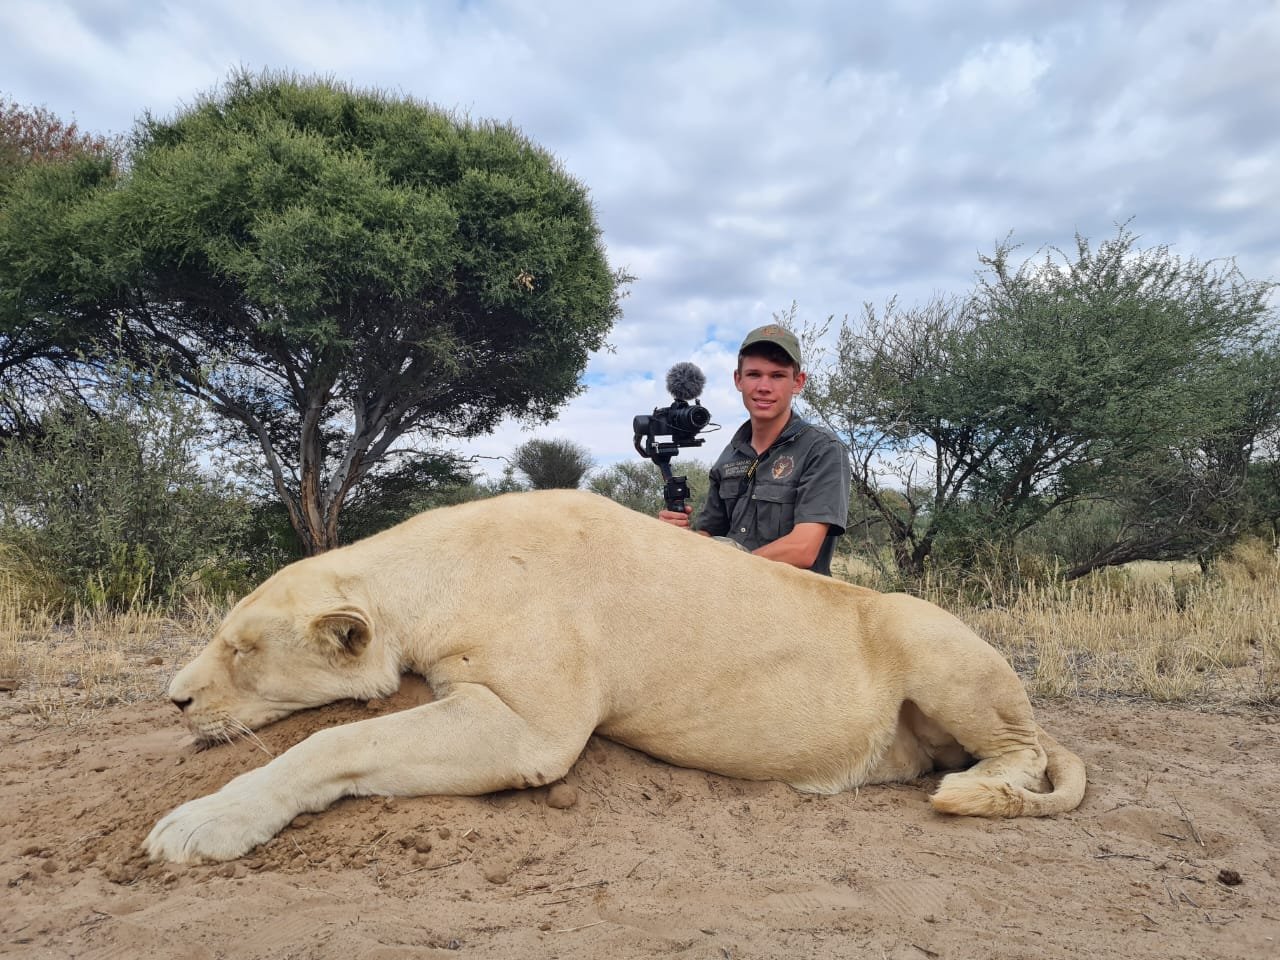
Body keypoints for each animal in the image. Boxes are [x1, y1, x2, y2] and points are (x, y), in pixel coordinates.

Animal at [145, 489, 1086, 863]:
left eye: (241, 648)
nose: (176, 698)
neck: (434, 575)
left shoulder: (533, 730)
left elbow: (330, 745)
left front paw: (198, 825)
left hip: (929, 632)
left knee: (1030, 752)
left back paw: (975, 791)